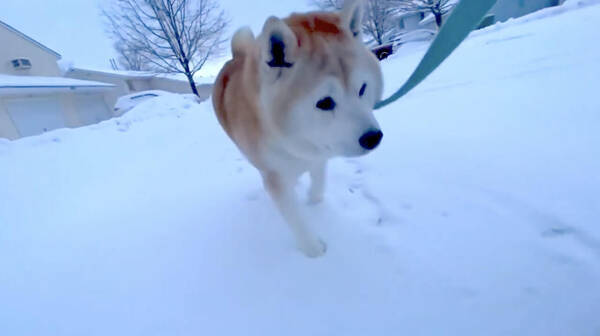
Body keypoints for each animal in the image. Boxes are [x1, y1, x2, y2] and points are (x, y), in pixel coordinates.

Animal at [214, 0, 384, 258]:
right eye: (324, 102)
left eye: (362, 89)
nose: (373, 138)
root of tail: (236, 56)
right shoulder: (274, 177)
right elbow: (295, 218)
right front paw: (313, 251)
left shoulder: (320, 153)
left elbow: (319, 182)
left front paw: (315, 204)